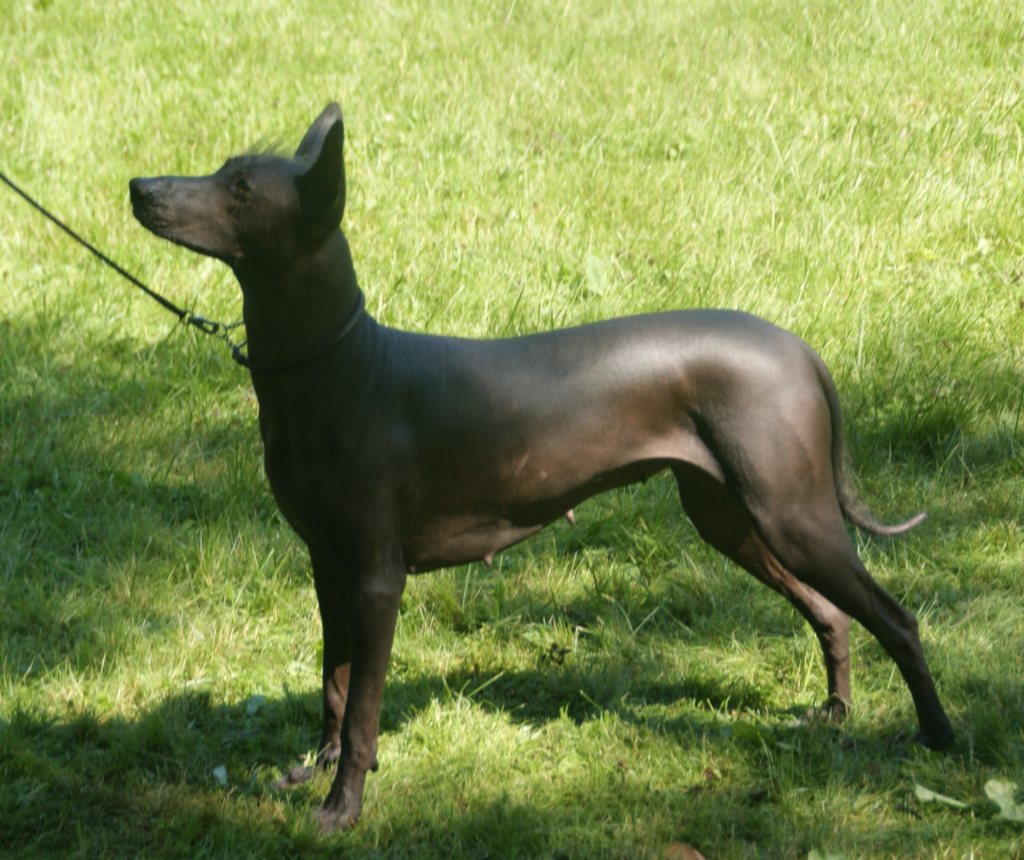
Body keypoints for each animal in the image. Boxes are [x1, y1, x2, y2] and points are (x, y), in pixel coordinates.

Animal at [132, 102, 954, 831]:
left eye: (240, 188)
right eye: (224, 168)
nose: (140, 186)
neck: (339, 364)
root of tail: (799, 348)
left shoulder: (375, 581)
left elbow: (363, 708)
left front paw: (343, 807)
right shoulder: (327, 569)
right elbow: (333, 687)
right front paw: (319, 767)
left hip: (792, 516)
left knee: (897, 618)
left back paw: (937, 735)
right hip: (735, 520)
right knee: (832, 613)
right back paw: (835, 713)